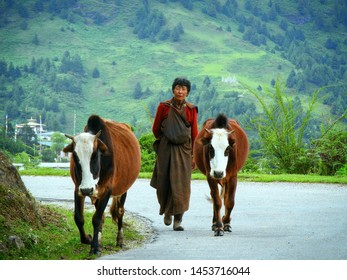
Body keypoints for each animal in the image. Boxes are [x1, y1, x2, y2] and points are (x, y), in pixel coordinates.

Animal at [64, 115, 141, 255]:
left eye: (95, 154)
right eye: (75, 157)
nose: (87, 189)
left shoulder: (107, 190)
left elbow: (97, 219)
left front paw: (94, 247)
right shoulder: (78, 189)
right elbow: (79, 218)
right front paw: (89, 240)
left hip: (123, 189)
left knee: (120, 211)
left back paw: (119, 239)